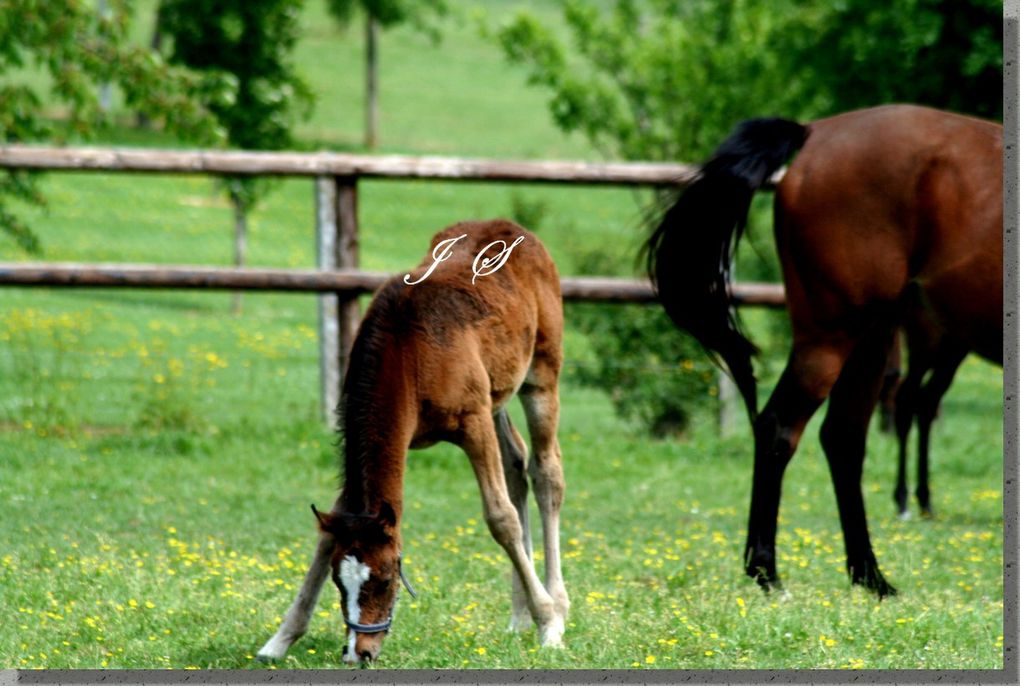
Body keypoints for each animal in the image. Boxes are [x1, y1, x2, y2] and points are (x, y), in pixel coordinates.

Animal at [259, 218, 571, 656]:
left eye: (387, 578)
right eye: (339, 580)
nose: (361, 652)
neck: (410, 354)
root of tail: (511, 227)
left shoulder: (473, 422)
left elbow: (501, 518)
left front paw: (548, 622)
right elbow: (328, 532)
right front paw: (281, 638)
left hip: (540, 376)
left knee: (546, 473)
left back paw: (555, 606)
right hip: (498, 393)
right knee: (516, 467)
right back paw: (518, 615)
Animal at [644, 104, 1003, 595]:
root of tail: (814, 132)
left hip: (875, 337)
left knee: (845, 436)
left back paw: (869, 575)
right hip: (839, 336)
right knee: (783, 426)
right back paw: (768, 571)